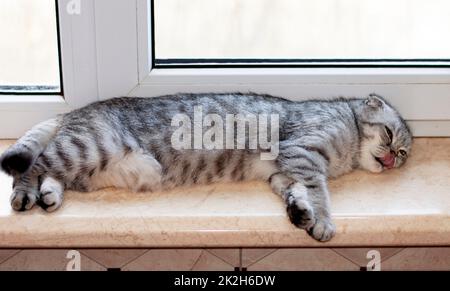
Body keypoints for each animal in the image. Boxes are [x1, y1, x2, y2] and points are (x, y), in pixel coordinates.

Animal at [0, 93, 412, 242]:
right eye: (389, 135)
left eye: (404, 152)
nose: (393, 159)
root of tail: (75, 111)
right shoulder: (301, 155)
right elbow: (320, 193)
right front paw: (323, 220)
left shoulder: (284, 170)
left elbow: (294, 193)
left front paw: (300, 212)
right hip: (86, 148)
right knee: (32, 166)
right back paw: (25, 195)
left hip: (83, 166)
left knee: (51, 173)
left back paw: (49, 195)